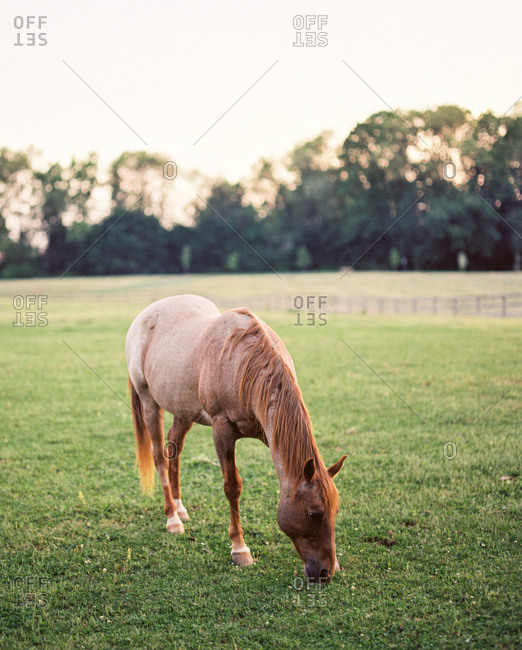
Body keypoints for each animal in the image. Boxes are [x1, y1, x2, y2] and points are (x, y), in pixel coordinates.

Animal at [125, 295, 346, 583]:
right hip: (150, 402)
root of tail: (144, 315)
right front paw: (240, 549)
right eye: (313, 513)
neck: (243, 363)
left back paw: (180, 507)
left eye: (335, 511)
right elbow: (232, 486)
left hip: (184, 411)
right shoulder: (222, 431)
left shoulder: (271, 432)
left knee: (175, 449)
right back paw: (173, 518)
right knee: (159, 457)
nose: (324, 573)